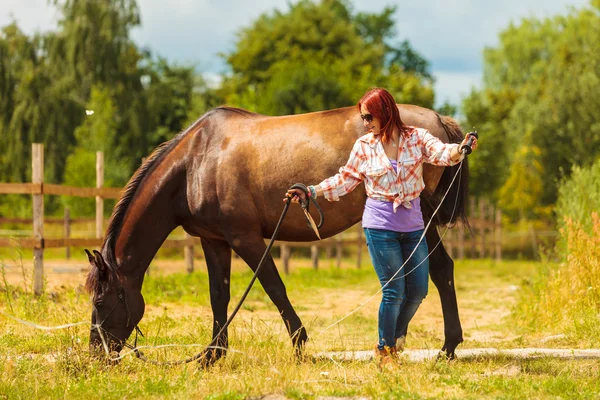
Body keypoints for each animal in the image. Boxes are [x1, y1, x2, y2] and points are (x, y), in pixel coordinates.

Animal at [84, 104, 468, 364]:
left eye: (101, 302)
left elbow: (273, 287)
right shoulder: (214, 241)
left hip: (420, 220)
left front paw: (299, 345)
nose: (96, 353)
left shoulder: (246, 239)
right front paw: (212, 354)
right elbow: (219, 295)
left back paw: (444, 347)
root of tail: (438, 123)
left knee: (440, 271)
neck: (195, 163)